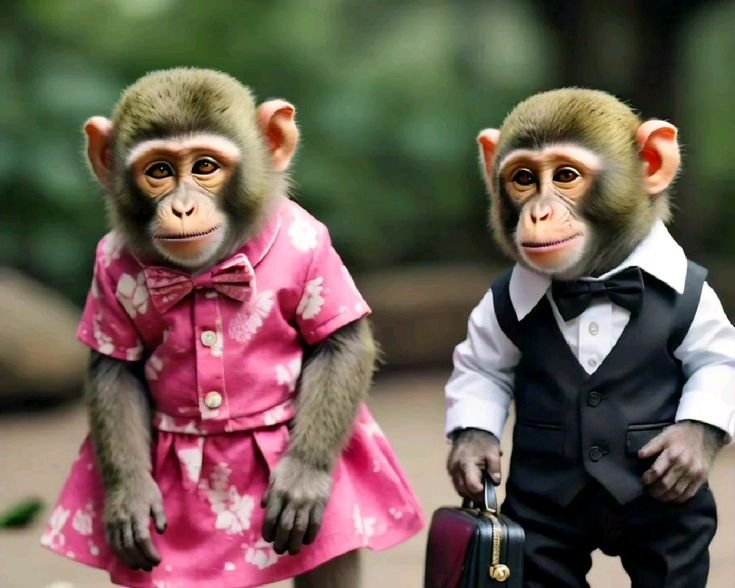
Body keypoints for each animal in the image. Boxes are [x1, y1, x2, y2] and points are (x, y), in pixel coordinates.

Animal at [40, 68, 424, 588]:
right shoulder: (106, 271)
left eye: (205, 166)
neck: (205, 275)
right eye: (159, 171)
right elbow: (115, 369)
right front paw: (129, 495)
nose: (182, 209)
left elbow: (338, 344)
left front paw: (303, 474)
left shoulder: (314, 246)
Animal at [444, 88, 735, 587]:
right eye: (523, 179)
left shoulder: (699, 302)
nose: (539, 213)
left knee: (673, 556)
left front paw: (687, 447)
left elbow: (718, 361)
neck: (597, 281)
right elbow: (482, 369)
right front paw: (473, 455)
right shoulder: (500, 303)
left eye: (565, 176)